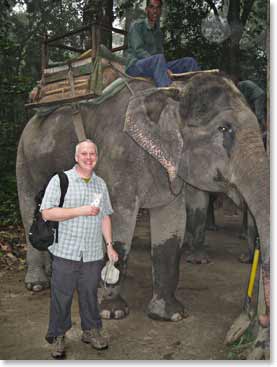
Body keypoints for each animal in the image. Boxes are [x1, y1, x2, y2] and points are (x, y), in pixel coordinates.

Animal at [16, 71, 268, 356]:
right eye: (224, 129)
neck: (171, 91)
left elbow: (171, 226)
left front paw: (170, 315)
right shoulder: (118, 160)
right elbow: (119, 224)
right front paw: (112, 312)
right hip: (24, 157)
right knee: (30, 209)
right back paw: (37, 283)